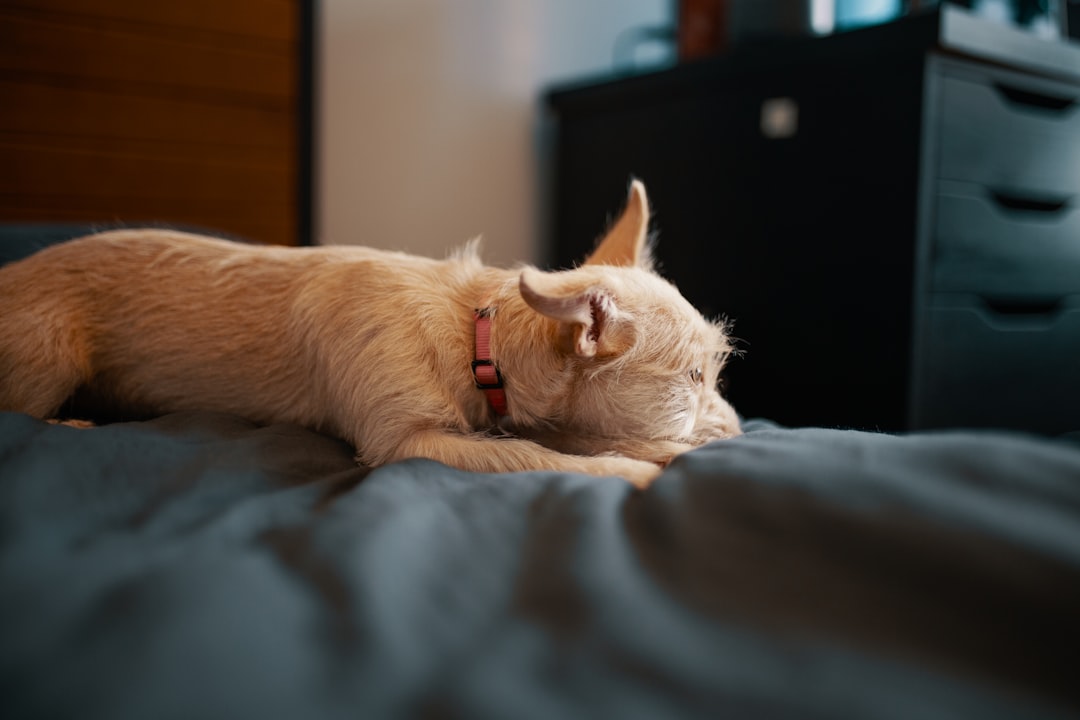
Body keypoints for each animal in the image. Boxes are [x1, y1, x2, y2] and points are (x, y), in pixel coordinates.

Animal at [0, 180, 738, 487]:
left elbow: (553, 443)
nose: (739, 428)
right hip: (49, 346)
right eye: (693, 378)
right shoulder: (408, 444)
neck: (475, 337)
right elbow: (544, 458)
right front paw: (641, 469)